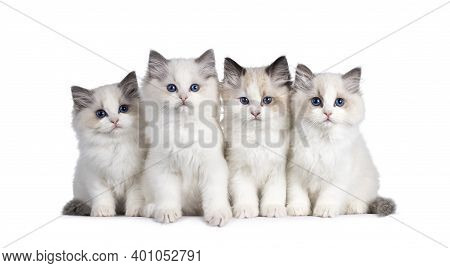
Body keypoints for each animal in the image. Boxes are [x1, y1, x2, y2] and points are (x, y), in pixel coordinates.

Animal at [63, 71, 143, 218]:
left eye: (123, 109)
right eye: (101, 113)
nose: (115, 120)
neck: (116, 145)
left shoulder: (137, 177)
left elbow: (136, 196)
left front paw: (136, 212)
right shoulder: (96, 175)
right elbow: (102, 197)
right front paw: (103, 212)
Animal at [140, 49, 232, 226]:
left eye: (194, 88)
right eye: (171, 88)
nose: (183, 97)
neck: (184, 127)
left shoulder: (212, 167)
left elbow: (214, 196)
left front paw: (217, 215)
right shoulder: (164, 168)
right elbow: (167, 194)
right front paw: (167, 213)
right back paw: (151, 209)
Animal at [221, 56, 292, 218]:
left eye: (267, 100)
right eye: (244, 101)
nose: (255, 113)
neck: (257, 138)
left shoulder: (278, 170)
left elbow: (274, 193)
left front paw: (273, 209)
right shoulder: (239, 169)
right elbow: (244, 193)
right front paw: (245, 210)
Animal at [286, 65, 396, 218]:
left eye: (339, 102)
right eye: (316, 101)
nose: (328, 113)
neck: (322, 141)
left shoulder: (337, 173)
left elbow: (328, 195)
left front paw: (324, 211)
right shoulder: (295, 171)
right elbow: (297, 194)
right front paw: (298, 209)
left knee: (363, 201)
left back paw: (354, 208)